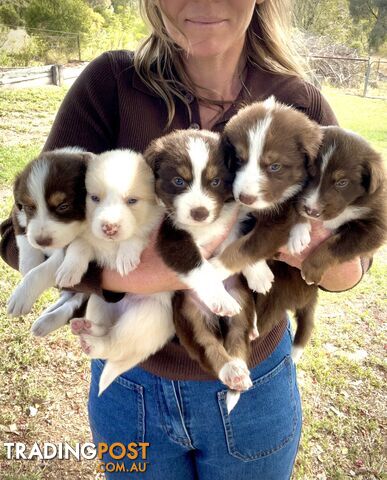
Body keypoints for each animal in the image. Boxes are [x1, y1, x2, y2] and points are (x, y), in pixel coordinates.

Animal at [7, 148, 89, 336]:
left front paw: (20, 297)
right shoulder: (18, 213)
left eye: (63, 206)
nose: (42, 241)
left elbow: (40, 271)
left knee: (75, 304)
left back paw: (46, 323)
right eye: (29, 207)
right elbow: (24, 238)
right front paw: (28, 265)